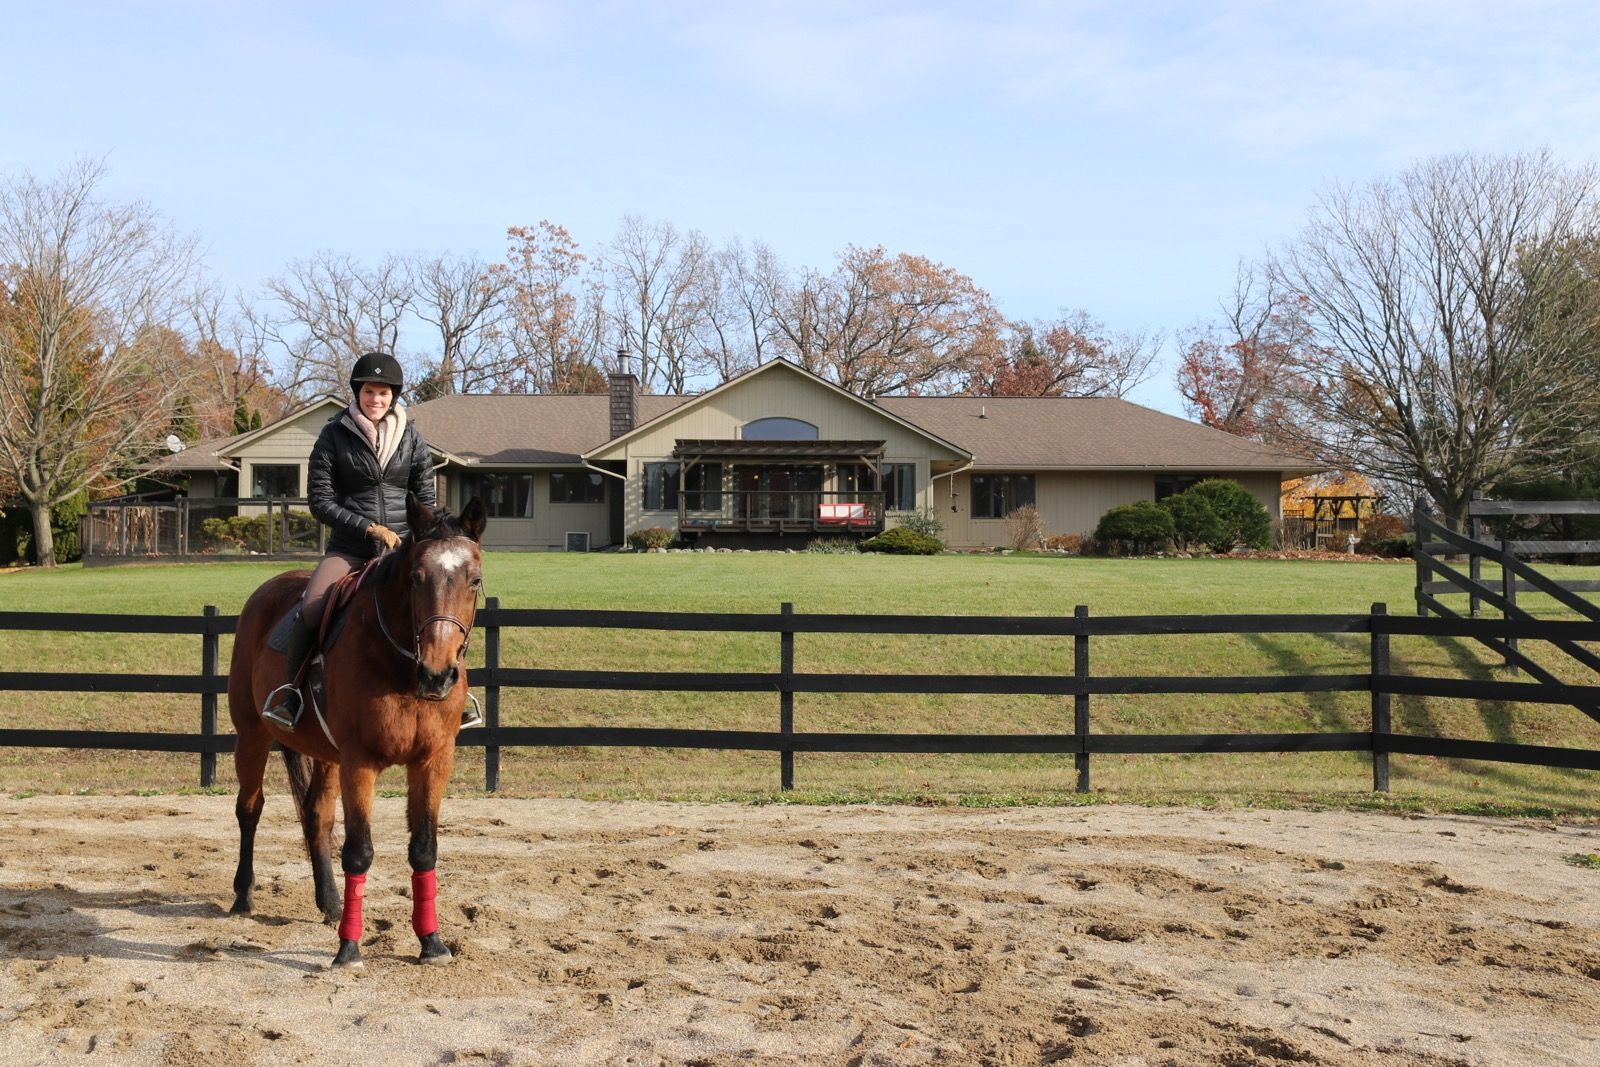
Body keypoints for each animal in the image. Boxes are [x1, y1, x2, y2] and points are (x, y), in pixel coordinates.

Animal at [226, 493, 487, 968]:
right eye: (416, 577)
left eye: (473, 580)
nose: (438, 674)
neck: (401, 669)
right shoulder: (359, 763)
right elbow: (359, 852)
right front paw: (348, 949)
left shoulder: (433, 760)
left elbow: (424, 848)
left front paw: (432, 942)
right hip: (252, 735)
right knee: (250, 809)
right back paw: (242, 896)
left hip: (326, 755)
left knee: (316, 815)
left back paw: (329, 902)